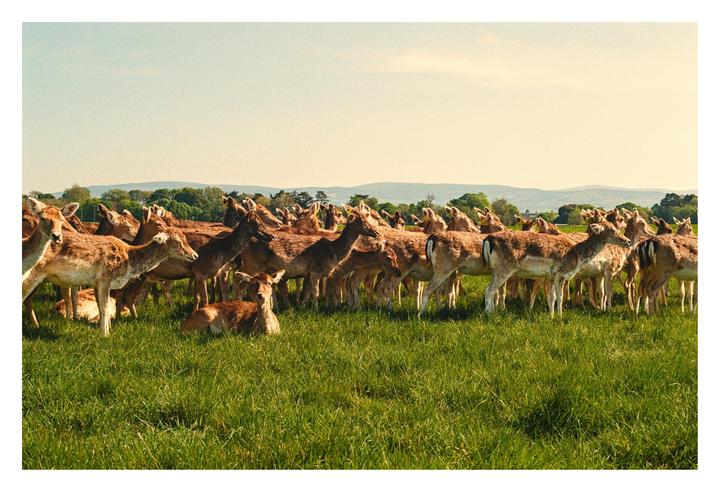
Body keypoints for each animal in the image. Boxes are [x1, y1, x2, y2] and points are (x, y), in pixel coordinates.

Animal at [23, 227, 198, 336]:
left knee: (28, 300)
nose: (195, 255)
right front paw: (105, 334)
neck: (128, 262)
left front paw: (108, 329)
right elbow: (106, 308)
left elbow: (102, 308)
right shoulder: (105, 278)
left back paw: (35, 325)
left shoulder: (96, 283)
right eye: (177, 242)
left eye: (185, 238)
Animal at [482, 217, 631, 317]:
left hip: (495, 270)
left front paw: (552, 316)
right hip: (504, 268)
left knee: (490, 288)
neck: (578, 254)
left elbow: (552, 297)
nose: (628, 241)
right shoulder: (561, 273)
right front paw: (560, 316)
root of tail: (488, 239)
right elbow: (559, 296)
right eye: (612, 230)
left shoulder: (552, 276)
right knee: (489, 289)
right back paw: (489, 314)